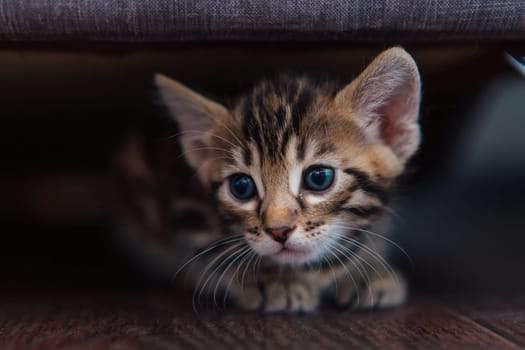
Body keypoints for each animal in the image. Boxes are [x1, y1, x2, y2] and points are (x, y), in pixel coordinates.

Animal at [113, 46, 418, 312]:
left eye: (319, 178)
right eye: (241, 186)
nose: (279, 230)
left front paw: (367, 270)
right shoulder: (185, 207)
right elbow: (213, 250)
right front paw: (274, 281)